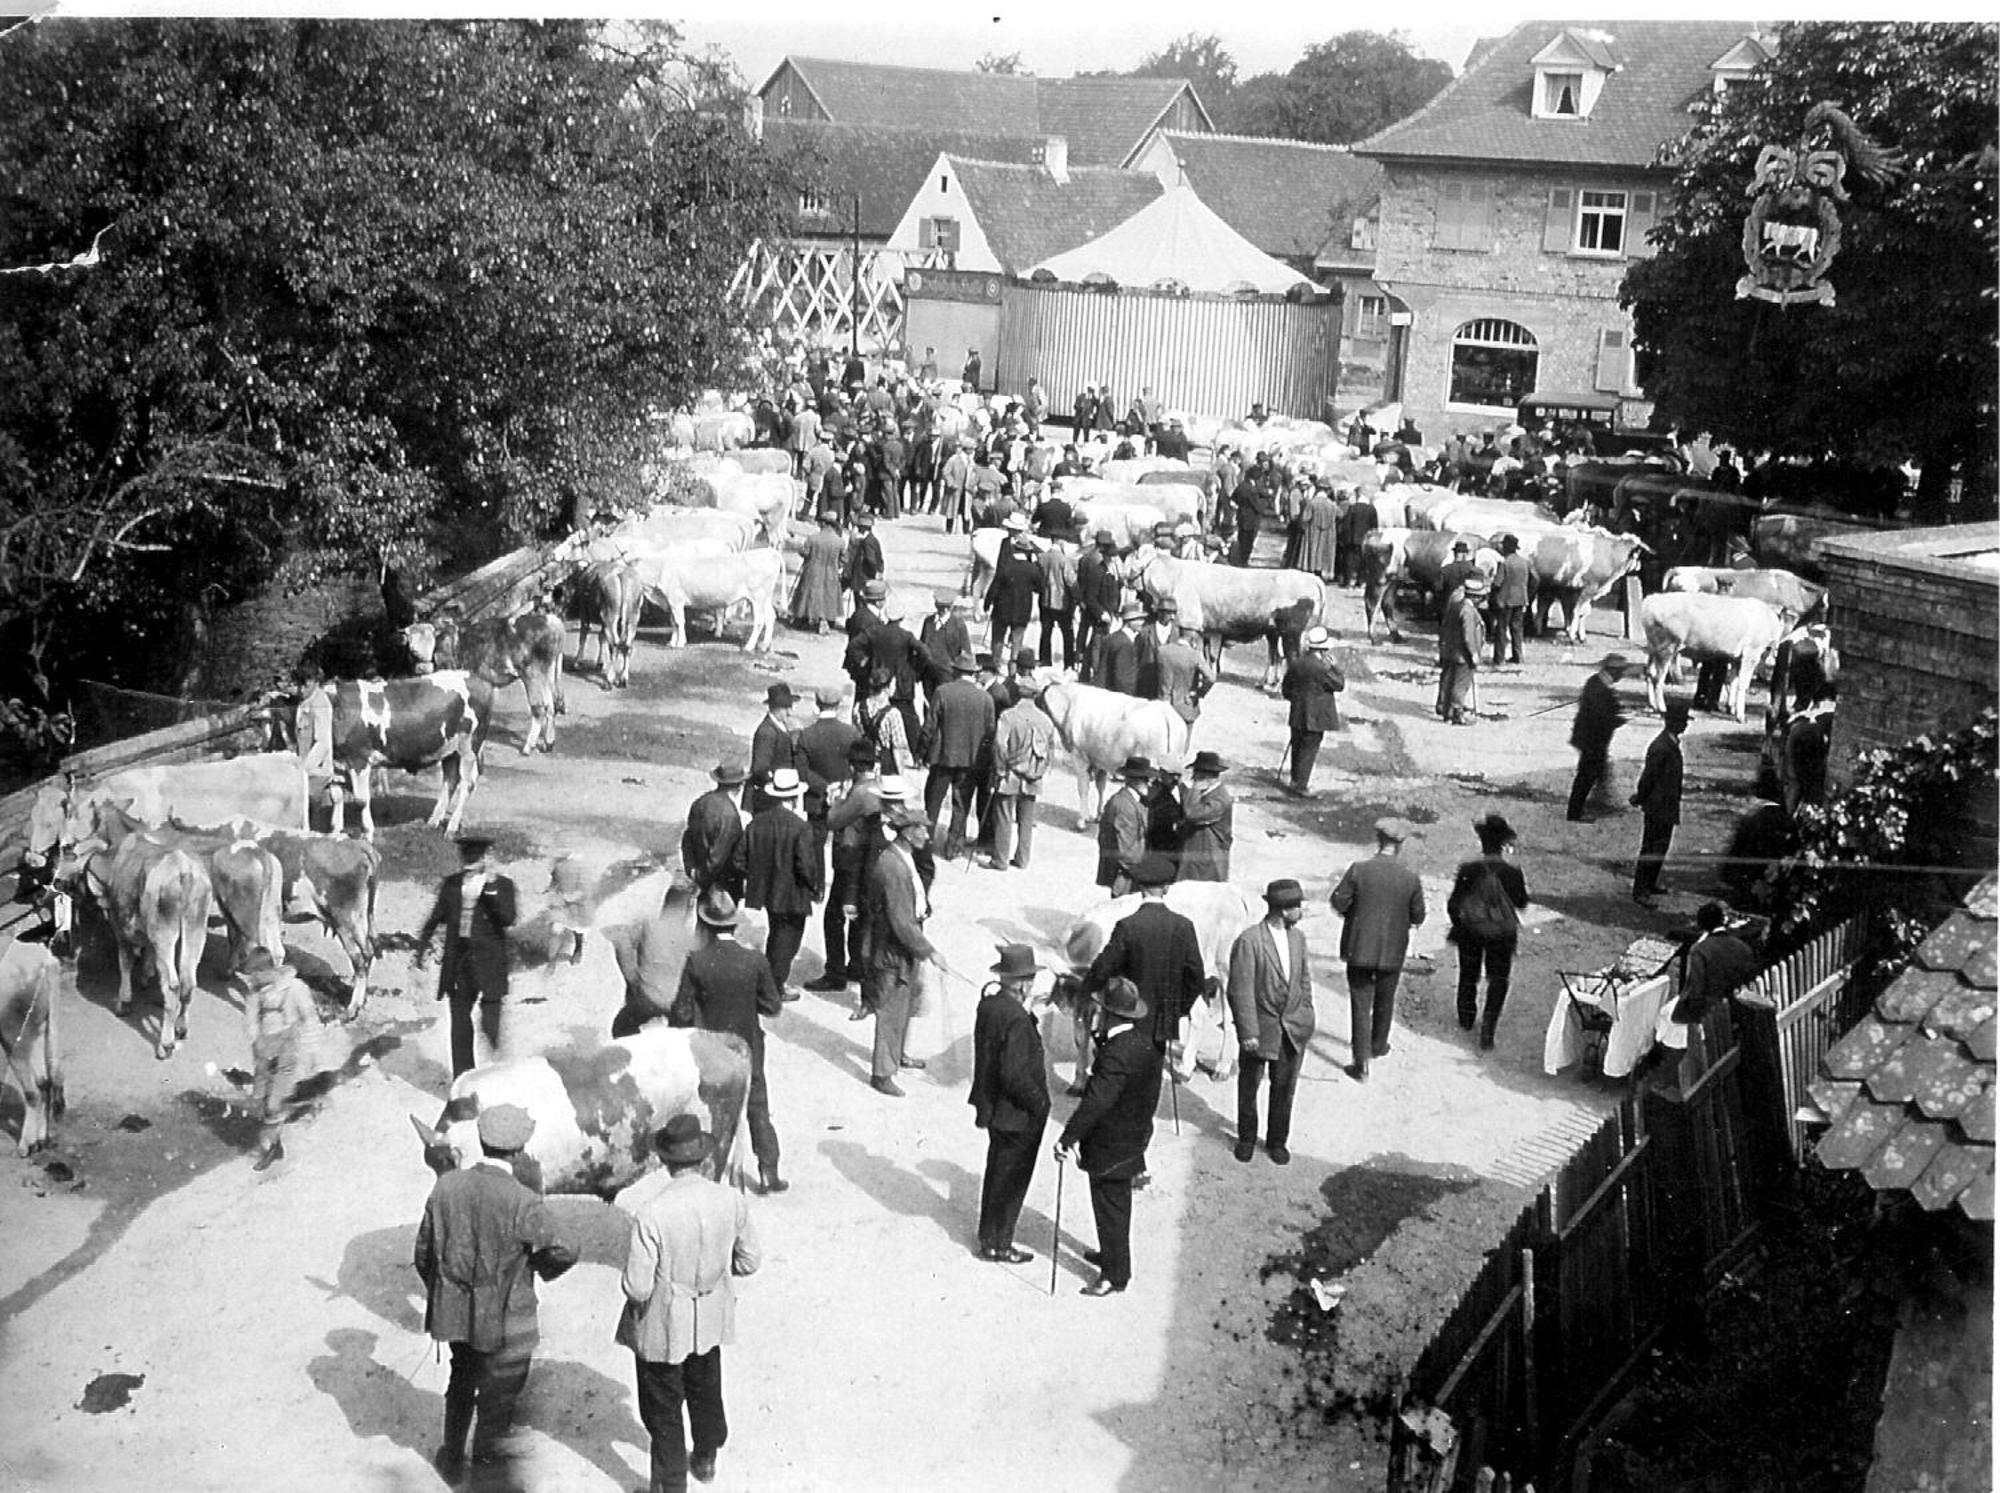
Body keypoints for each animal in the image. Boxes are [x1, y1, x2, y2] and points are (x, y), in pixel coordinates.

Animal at [632, 540, 780, 644]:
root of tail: (770, 553)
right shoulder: (669, 601)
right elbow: (673, 622)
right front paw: (672, 642)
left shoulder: (676, 599)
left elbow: (679, 622)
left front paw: (680, 643)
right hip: (765, 598)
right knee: (771, 617)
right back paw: (764, 645)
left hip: (758, 598)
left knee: (760, 620)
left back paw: (749, 646)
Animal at [1032, 684, 1184, 824]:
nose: (1034, 698)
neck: (1069, 704)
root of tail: (1165, 711)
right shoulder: (1101, 759)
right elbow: (1101, 786)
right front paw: (1099, 815)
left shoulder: (1079, 756)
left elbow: (1083, 787)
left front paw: (1082, 820)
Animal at [1632, 588, 1792, 720]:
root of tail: (1653, 598)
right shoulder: (1751, 654)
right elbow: (1743, 684)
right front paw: (1740, 716)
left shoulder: (1737, 659)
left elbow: (1733, 681)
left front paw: (1731, 709)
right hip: (1667, 648)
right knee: (1658, 678)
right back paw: (1662, 708)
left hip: (1653, 649)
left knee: (1649, 673)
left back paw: (1653, 706)